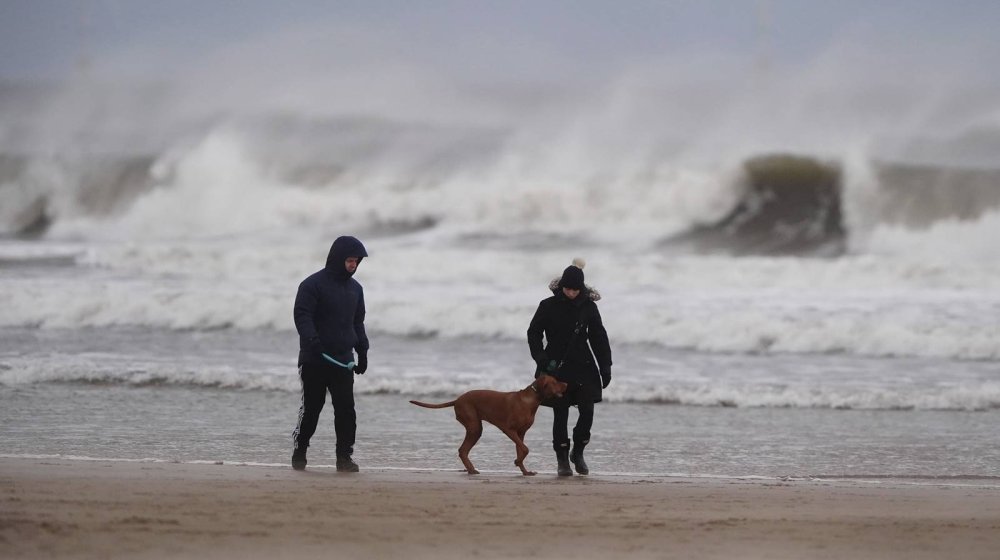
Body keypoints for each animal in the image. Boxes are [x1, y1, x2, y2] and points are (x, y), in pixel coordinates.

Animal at [408, 374, 568, 474]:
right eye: (555, 381)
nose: (567, 383)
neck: (530, 400)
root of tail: (458, 399)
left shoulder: (521, 433)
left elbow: (521, 449)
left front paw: (525, 471)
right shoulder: (509, 429)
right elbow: (525, 449)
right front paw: (517, 461)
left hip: (475, 428)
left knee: (463, 450)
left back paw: (471, 470)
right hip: (474, 427)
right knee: (463, 450)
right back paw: (471, 470)